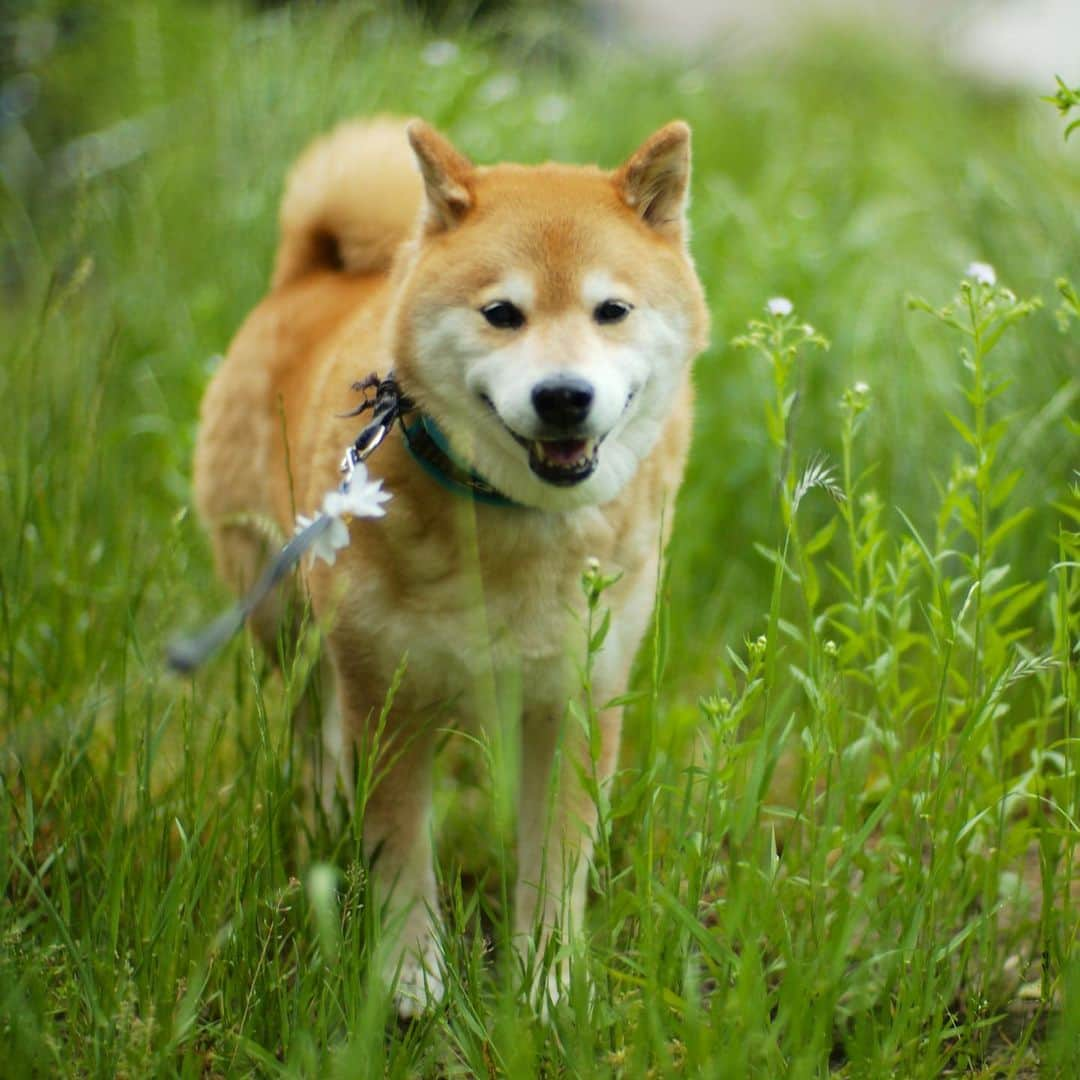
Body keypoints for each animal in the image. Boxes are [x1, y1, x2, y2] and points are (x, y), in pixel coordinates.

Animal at [193, 118, 708, 1010]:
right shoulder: (388, 698)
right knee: (311, 735)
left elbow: (556, 863)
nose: (563, 396)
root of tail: (309, 275)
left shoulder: (577, 700)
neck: (512, 526)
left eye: (612, 310)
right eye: (502, 313)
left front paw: (546, 987)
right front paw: (410, 979)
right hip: (289, 627)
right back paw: (321, 817)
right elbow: (400, 853)